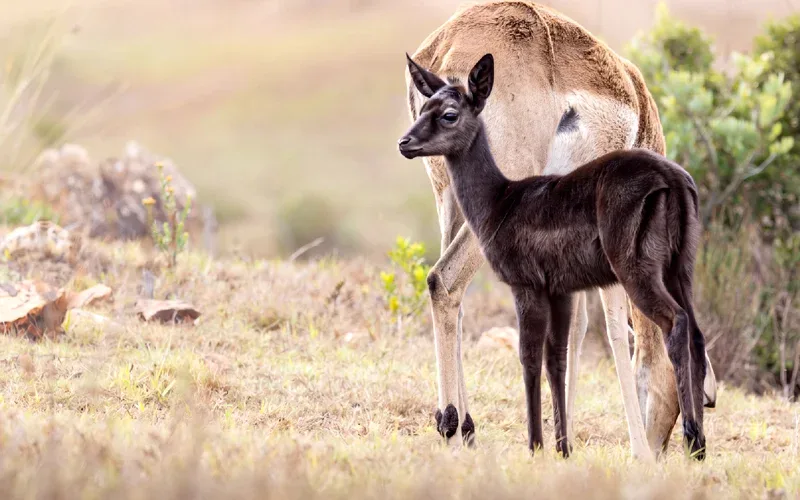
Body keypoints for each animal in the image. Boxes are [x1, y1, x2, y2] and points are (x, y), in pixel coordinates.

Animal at [404, 1, 717, 460]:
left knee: (453, 298)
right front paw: (636, 450)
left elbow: (577, 327)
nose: (663, 450)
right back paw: (449, 426)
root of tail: (448, 43)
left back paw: (466, 426)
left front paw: (564, 440)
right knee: (443, 281)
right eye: (685, 401)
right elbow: (613, 327)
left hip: (450, 205)